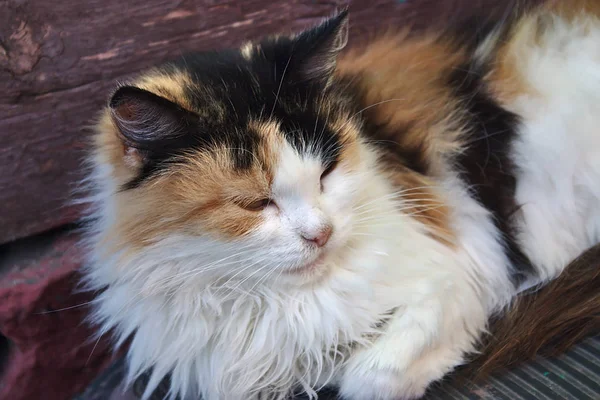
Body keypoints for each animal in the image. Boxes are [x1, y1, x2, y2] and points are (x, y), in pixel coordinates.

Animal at [82, 3, 600, 400]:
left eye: (326, 172)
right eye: (254, 203)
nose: (321, 233)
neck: (282, 303)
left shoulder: (461, 273)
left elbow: (371, 377)